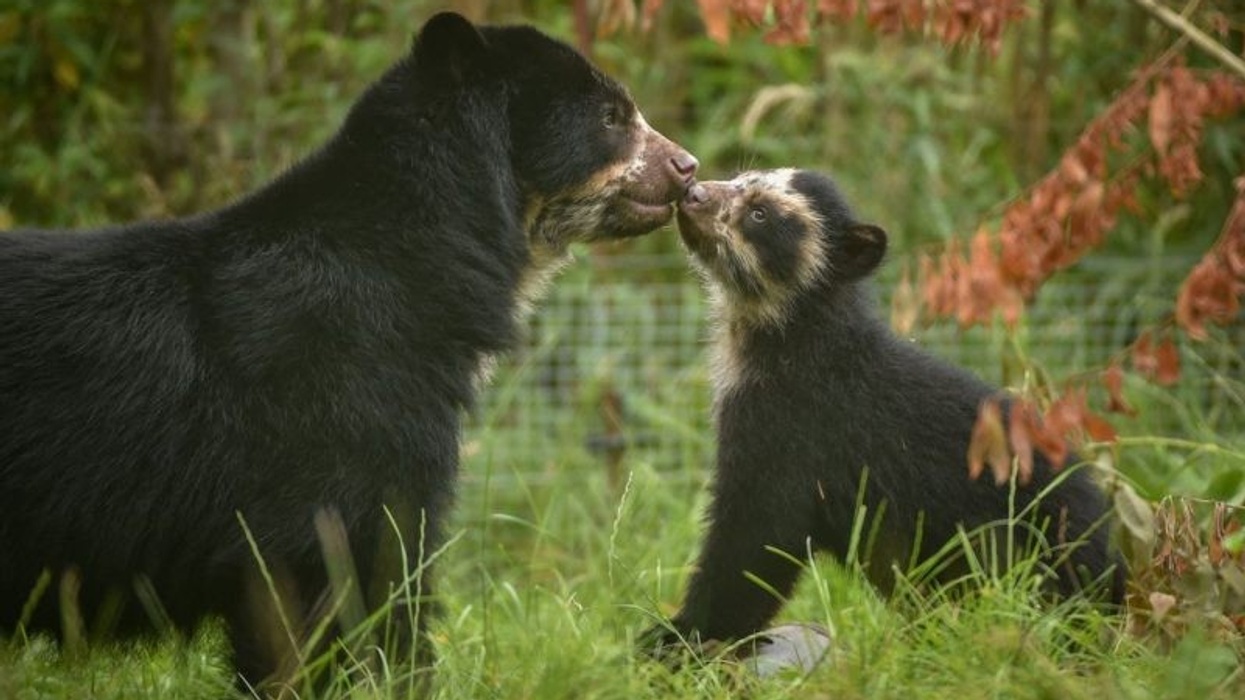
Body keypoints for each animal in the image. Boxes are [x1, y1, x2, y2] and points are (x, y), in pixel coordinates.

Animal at [646, 169, 1123, 652]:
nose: (691, 192)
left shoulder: (794, 428)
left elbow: (758, 539)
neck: (788, 339)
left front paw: (678, 636)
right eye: (739, 177)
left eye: (760, 214)